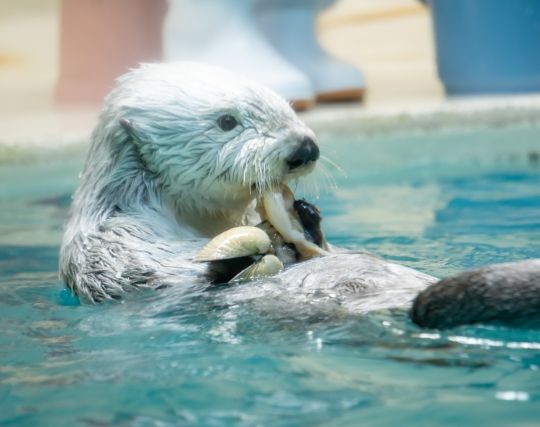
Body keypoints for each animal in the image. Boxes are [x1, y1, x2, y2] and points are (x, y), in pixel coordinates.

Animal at [61, 61, 540, 328]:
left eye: (288, 106)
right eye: (227, 122)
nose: (304, 148)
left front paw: (306, 217)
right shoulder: (114, 240)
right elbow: (153, 273)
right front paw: (247, 256)